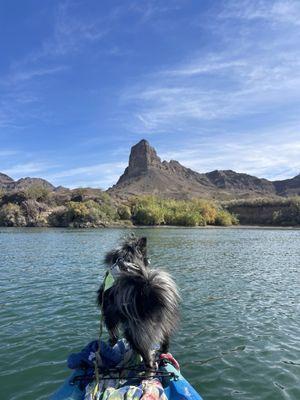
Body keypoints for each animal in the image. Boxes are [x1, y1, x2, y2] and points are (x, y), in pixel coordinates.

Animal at [97, 238, 179, 372]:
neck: (125, 260)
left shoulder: (109, 314)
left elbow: (112, 332)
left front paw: (112, 341)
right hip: (165, 326)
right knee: (164, 344)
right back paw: (162, 355)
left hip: (133, 333)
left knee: (146, 357)